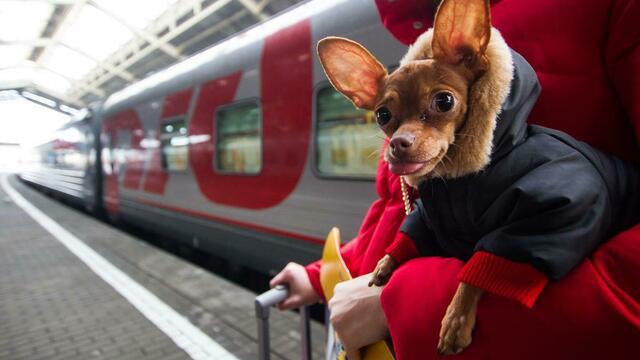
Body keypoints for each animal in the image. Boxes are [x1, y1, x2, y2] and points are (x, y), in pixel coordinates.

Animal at [318, 0, 636, 356]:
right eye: (383, 115)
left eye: (444, 101)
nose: (398, 144)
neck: (459, 181)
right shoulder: (429, 216)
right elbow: (413, 233)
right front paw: (387, 261)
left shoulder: (554, 210)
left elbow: (479, 267)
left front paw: (456, 319)